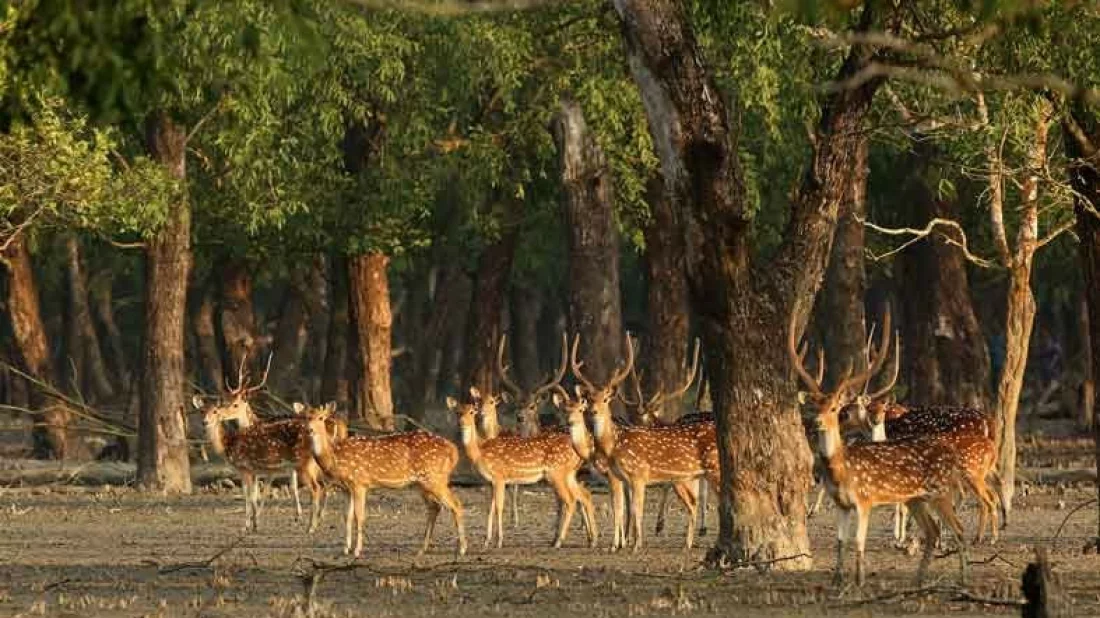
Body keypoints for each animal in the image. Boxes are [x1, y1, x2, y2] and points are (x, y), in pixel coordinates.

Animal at [303, 402, 466, 556]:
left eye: (321, 418)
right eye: (306, 417)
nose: (309, 430)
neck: (334, 458)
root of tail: (454, 451)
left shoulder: (359, 482)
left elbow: (359, 516)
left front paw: (357, 551)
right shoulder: (346, 488)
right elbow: (346, 517)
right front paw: (345, 549)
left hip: (434, 478)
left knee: (456, 504)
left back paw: (462, 549)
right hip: (422, 483)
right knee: (435, 507)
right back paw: (422, 549)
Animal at [446, 391, 598, 545]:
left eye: (472, 412)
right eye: (458, 412)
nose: (462, 423)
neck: (479, 451)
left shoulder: (500, 477)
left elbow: (499, 507)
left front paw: (499, 540)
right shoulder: (490, 481)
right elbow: (490, 507)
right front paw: (487, 540)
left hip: (557, 472)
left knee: (570, 500)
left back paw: (559, 541)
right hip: (568, 474)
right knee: (584, 495)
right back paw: (592, 539)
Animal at [572, 334, 717, 549]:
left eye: (606, 399)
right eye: (588, 399)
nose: (593, 411)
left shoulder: (634, 475)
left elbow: (631, 508)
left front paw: (632, 543)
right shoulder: (624, 478)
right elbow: (624, 507)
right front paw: (621, 543)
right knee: (696, 500)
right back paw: (689, 541)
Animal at [792, 305, 972, 585]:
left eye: (834, 409)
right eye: (814, 406)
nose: (816, 422)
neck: (841, 471)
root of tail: (950, 452)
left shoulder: (865, 500)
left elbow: (858, 542)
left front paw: (859, 581)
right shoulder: (842, 504)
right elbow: (840, 542)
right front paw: (837, 581)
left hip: (940, 492)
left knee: (960, 529)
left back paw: (963, 579)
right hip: (916, 498)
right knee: (932, 531)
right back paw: (918, 580)